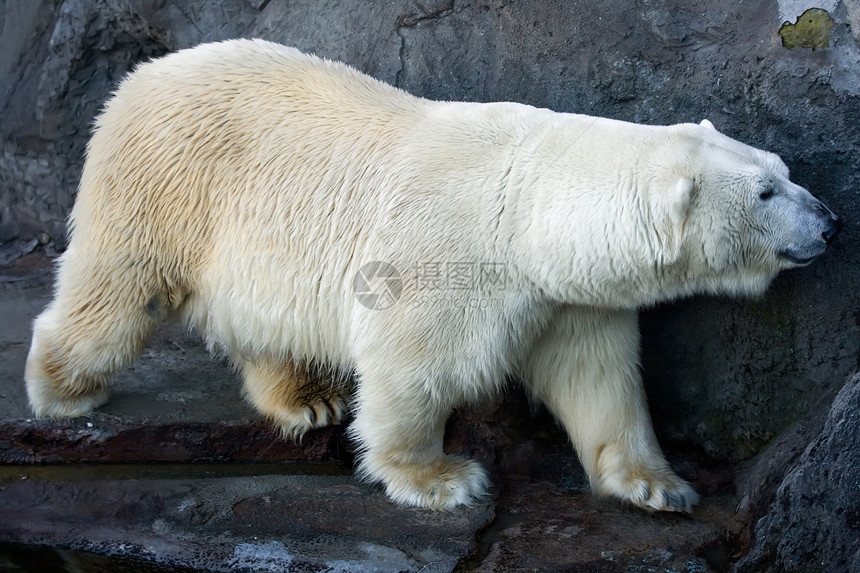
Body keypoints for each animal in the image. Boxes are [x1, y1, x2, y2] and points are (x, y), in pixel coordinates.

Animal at [21, 39, 840, 510]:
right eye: (766, 193)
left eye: (783, 170)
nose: (831, 220)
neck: (527, 207)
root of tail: (144, 71)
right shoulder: (448, 251)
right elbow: (414, 364)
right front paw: (441, 478)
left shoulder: (567, 294)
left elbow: (599, 377)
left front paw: (659, 485)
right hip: (166, 180)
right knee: (115, 286)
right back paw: (63, 387)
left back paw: (303, 397)